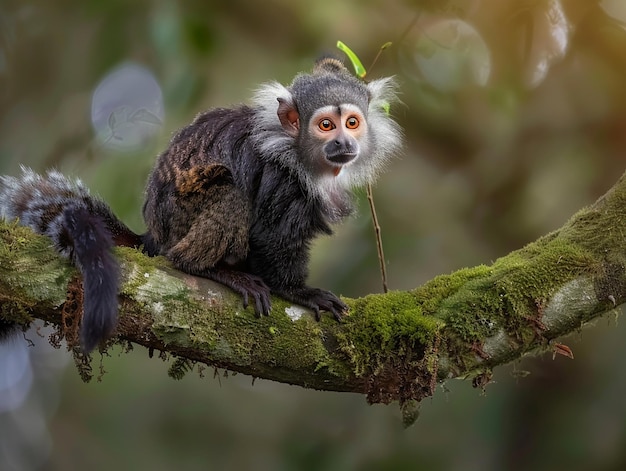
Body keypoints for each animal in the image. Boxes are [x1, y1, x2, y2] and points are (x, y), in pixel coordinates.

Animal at [0, 57, 400, 352]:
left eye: (352, 122)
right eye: (326, 125)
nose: (344, 143)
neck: (299, 153)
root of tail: (154, 235)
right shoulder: (281, 176)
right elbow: (272, 237)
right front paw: (299, 292)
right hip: (181, 221)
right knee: (228, 194)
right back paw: (207, 268)